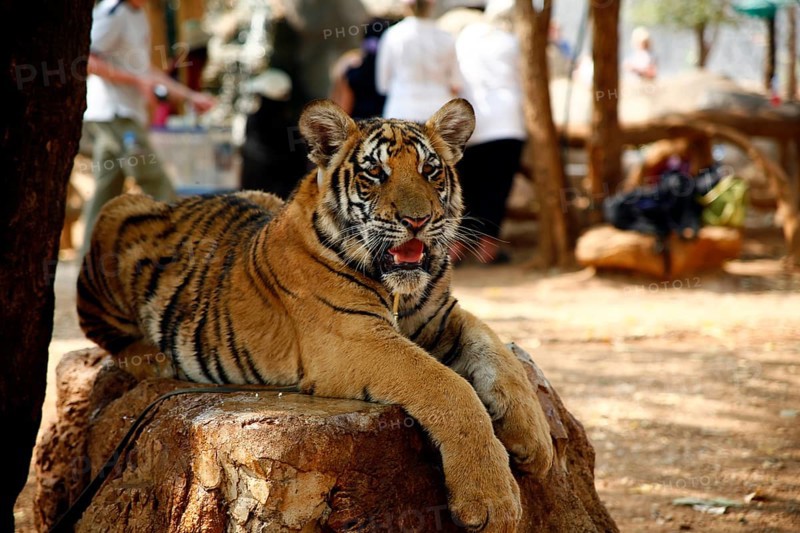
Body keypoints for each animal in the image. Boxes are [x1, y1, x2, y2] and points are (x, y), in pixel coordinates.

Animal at [77, 98, 554, 532]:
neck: (400, 292)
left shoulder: (442, 318)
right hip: (115, 218)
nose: (417, 220)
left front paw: (536, 442)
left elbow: (498, 353)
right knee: (104, 333)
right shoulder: (355, 338)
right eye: (375, 173)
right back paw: (154, 358)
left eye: (430, 171)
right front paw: (492, 499)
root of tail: (175, 203)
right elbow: (449, 387)